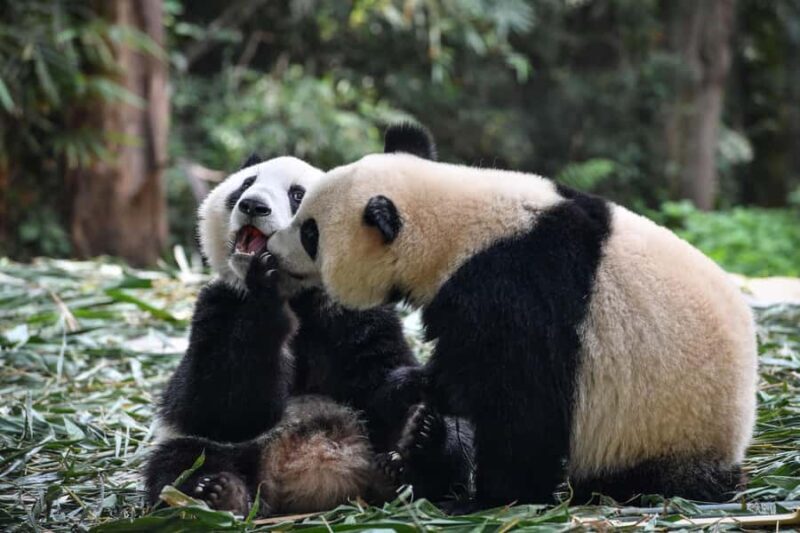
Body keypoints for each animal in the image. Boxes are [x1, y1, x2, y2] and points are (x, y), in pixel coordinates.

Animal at [145, 154, 474, 515]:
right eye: (246, 184)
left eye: (297, 195)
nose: (253, 205)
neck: (297, 295)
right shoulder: (220, 305)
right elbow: (221, 407)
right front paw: (267, 300)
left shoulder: (355, 315)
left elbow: (383, 380)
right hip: (215, 451)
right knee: (180, 462)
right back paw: (219, 493)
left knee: (457, 443)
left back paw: (414, 453)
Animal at [266, 123, 758, 510]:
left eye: (310, 233)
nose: (271, 249)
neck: (454, 224)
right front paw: (414, 403)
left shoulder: (516, 286)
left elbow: (519, 399)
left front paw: (491, 497)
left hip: (659, 427)